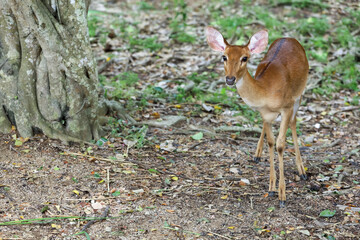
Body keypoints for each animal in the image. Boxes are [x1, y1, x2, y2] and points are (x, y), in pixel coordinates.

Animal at [205, 25, 310, 206]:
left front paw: (282, 195)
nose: (230, 79)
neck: (266, 90)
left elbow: (280, 144)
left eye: (244, 58)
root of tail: (289, 38)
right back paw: (257, 155)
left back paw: (302, 170)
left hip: (300, 92)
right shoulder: (264, 113)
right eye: (224, 57)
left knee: (294, 122)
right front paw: (271, 188)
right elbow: (271, 142)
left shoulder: (287, 106)